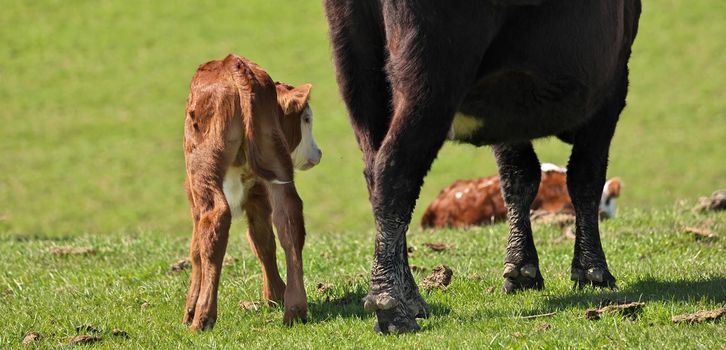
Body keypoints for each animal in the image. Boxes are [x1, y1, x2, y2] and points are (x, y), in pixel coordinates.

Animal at [182, 53, 322, 330]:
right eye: (306, 119)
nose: (318, 152)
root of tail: (233, 64)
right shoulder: (258, 190)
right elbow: (262, 240)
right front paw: (275, 295)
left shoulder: (193, 195)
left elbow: (196, 250)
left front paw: (189, 310)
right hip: (276, 160)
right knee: (289, 218)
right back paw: (295, 308)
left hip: (202, 166)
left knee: (215, 218)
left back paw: (202, 318)